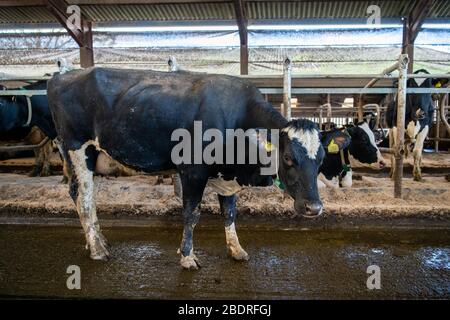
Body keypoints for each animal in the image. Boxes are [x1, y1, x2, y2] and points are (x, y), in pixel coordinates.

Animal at [47, 68, 326, 270]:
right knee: (85, 198)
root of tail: (63, 76)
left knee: (76, 194)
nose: (314, 208)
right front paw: (187, 257)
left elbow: (230, 213)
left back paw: (97, 240)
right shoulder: (193, 171)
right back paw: (97, 250)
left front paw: (236, 250)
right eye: (288, 157)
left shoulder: (227, 176)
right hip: (77, 148)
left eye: (322, 158)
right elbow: (191, 215)